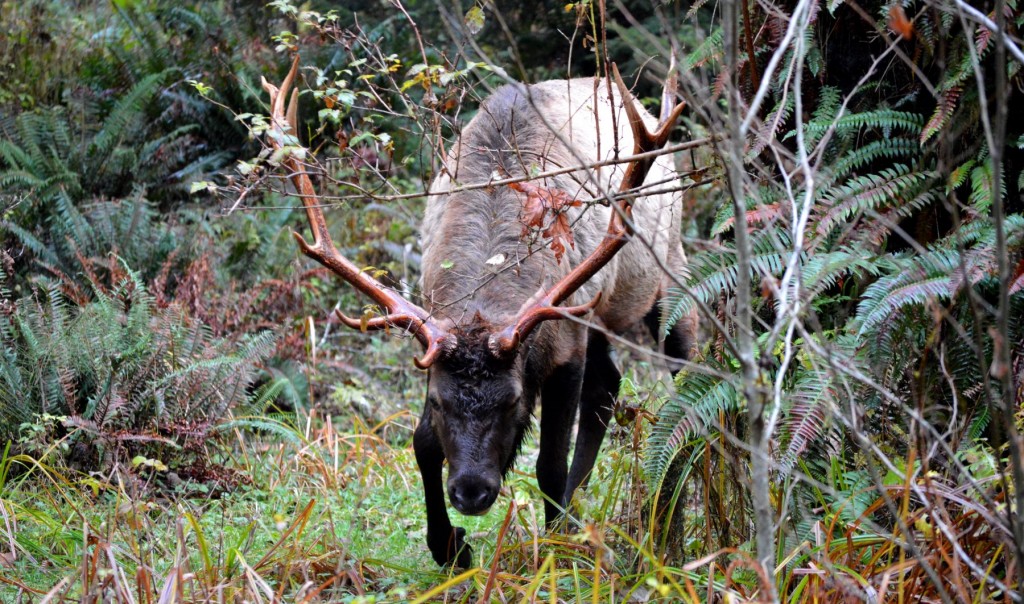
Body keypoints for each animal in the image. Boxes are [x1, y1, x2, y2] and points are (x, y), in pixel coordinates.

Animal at [262, 56, 696, 569]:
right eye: (437, 401)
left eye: (512, 400)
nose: (471, 493)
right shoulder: (436, 343)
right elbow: (422, 444)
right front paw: (449, 546)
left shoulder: (564, 340)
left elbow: (549, 463)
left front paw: (553, 550)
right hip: (602, 317)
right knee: (608, 384)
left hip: (667, 274)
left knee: (682, 367)